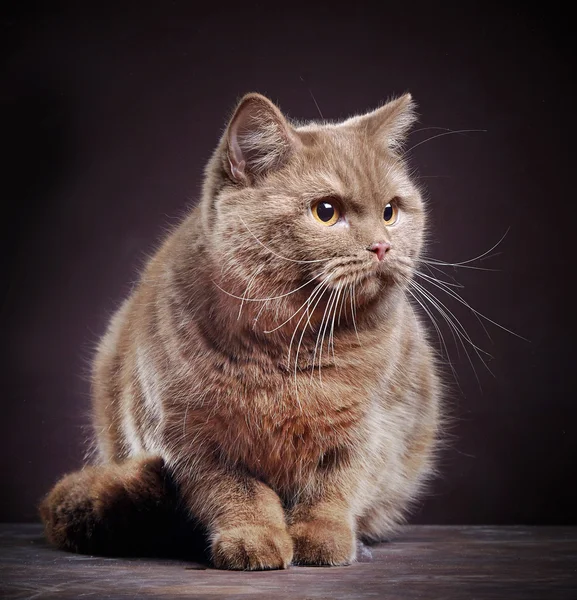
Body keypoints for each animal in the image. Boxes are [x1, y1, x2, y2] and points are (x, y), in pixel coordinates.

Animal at [40, 91, 440, 568]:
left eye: (390, 211)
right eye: (326, 212)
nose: (382, 246)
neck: (291, 349)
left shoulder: (371, 428)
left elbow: (335, 489)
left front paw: (323, 539)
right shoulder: (191, 440)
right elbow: (239, 493)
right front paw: (253, 539)